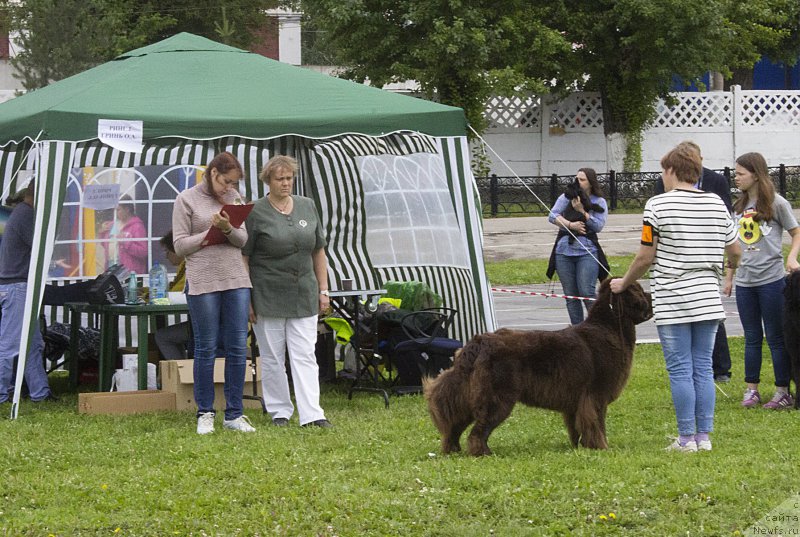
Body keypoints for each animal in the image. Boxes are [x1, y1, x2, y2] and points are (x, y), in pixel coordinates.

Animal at [422, 276, 652, 456]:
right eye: (641, 292)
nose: (651, 297)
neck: (609, 326)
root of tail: (479, 342)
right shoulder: (595, 395)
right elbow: (597, 423)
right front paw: (601, 446)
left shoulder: (576, 402)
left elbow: (576, 426)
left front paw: (580, 446)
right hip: (498, 397)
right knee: (478, 430)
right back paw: (482, 452)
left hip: (469, 394)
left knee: (455, 423)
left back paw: (452, 448)